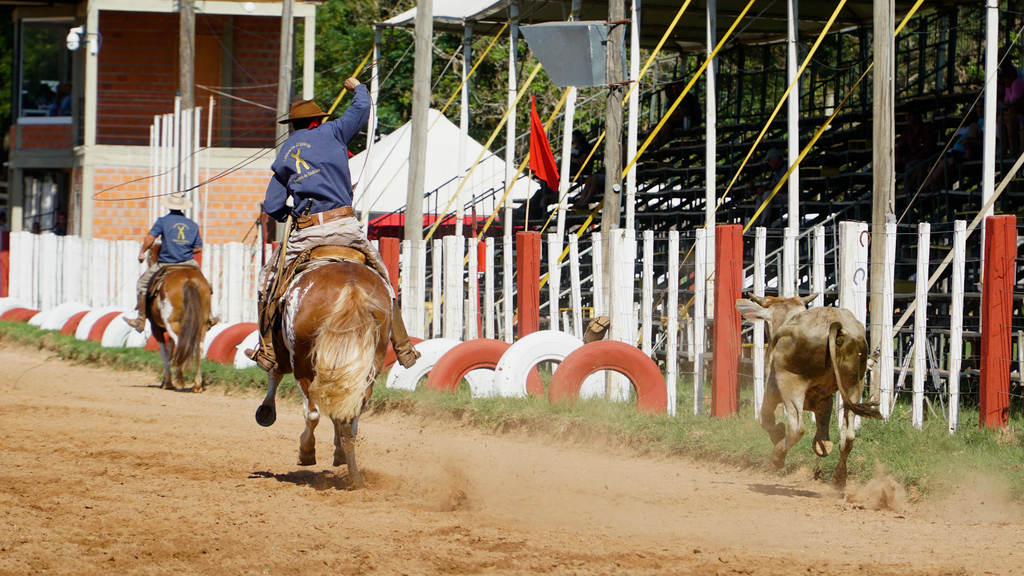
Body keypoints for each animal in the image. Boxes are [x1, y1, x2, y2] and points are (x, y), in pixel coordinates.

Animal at [145, 243, 217, 391]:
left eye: (149, 257)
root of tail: (188, 279)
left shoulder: (156, 327)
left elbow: (164, 352)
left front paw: (167, 381)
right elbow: (170, 350)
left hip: (172, 323)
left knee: (181, 343)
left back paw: (180, 378)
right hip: (201, 324)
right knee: (198, 347)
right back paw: (197, 384)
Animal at [253, 253, 389, 485]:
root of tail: (351, 286)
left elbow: (276, 372)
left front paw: (267, 409)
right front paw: (340, 452)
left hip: (301, 363)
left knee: (312, 412)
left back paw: (306, 452)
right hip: (368, 367)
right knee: (350, 413)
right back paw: (353, 472)